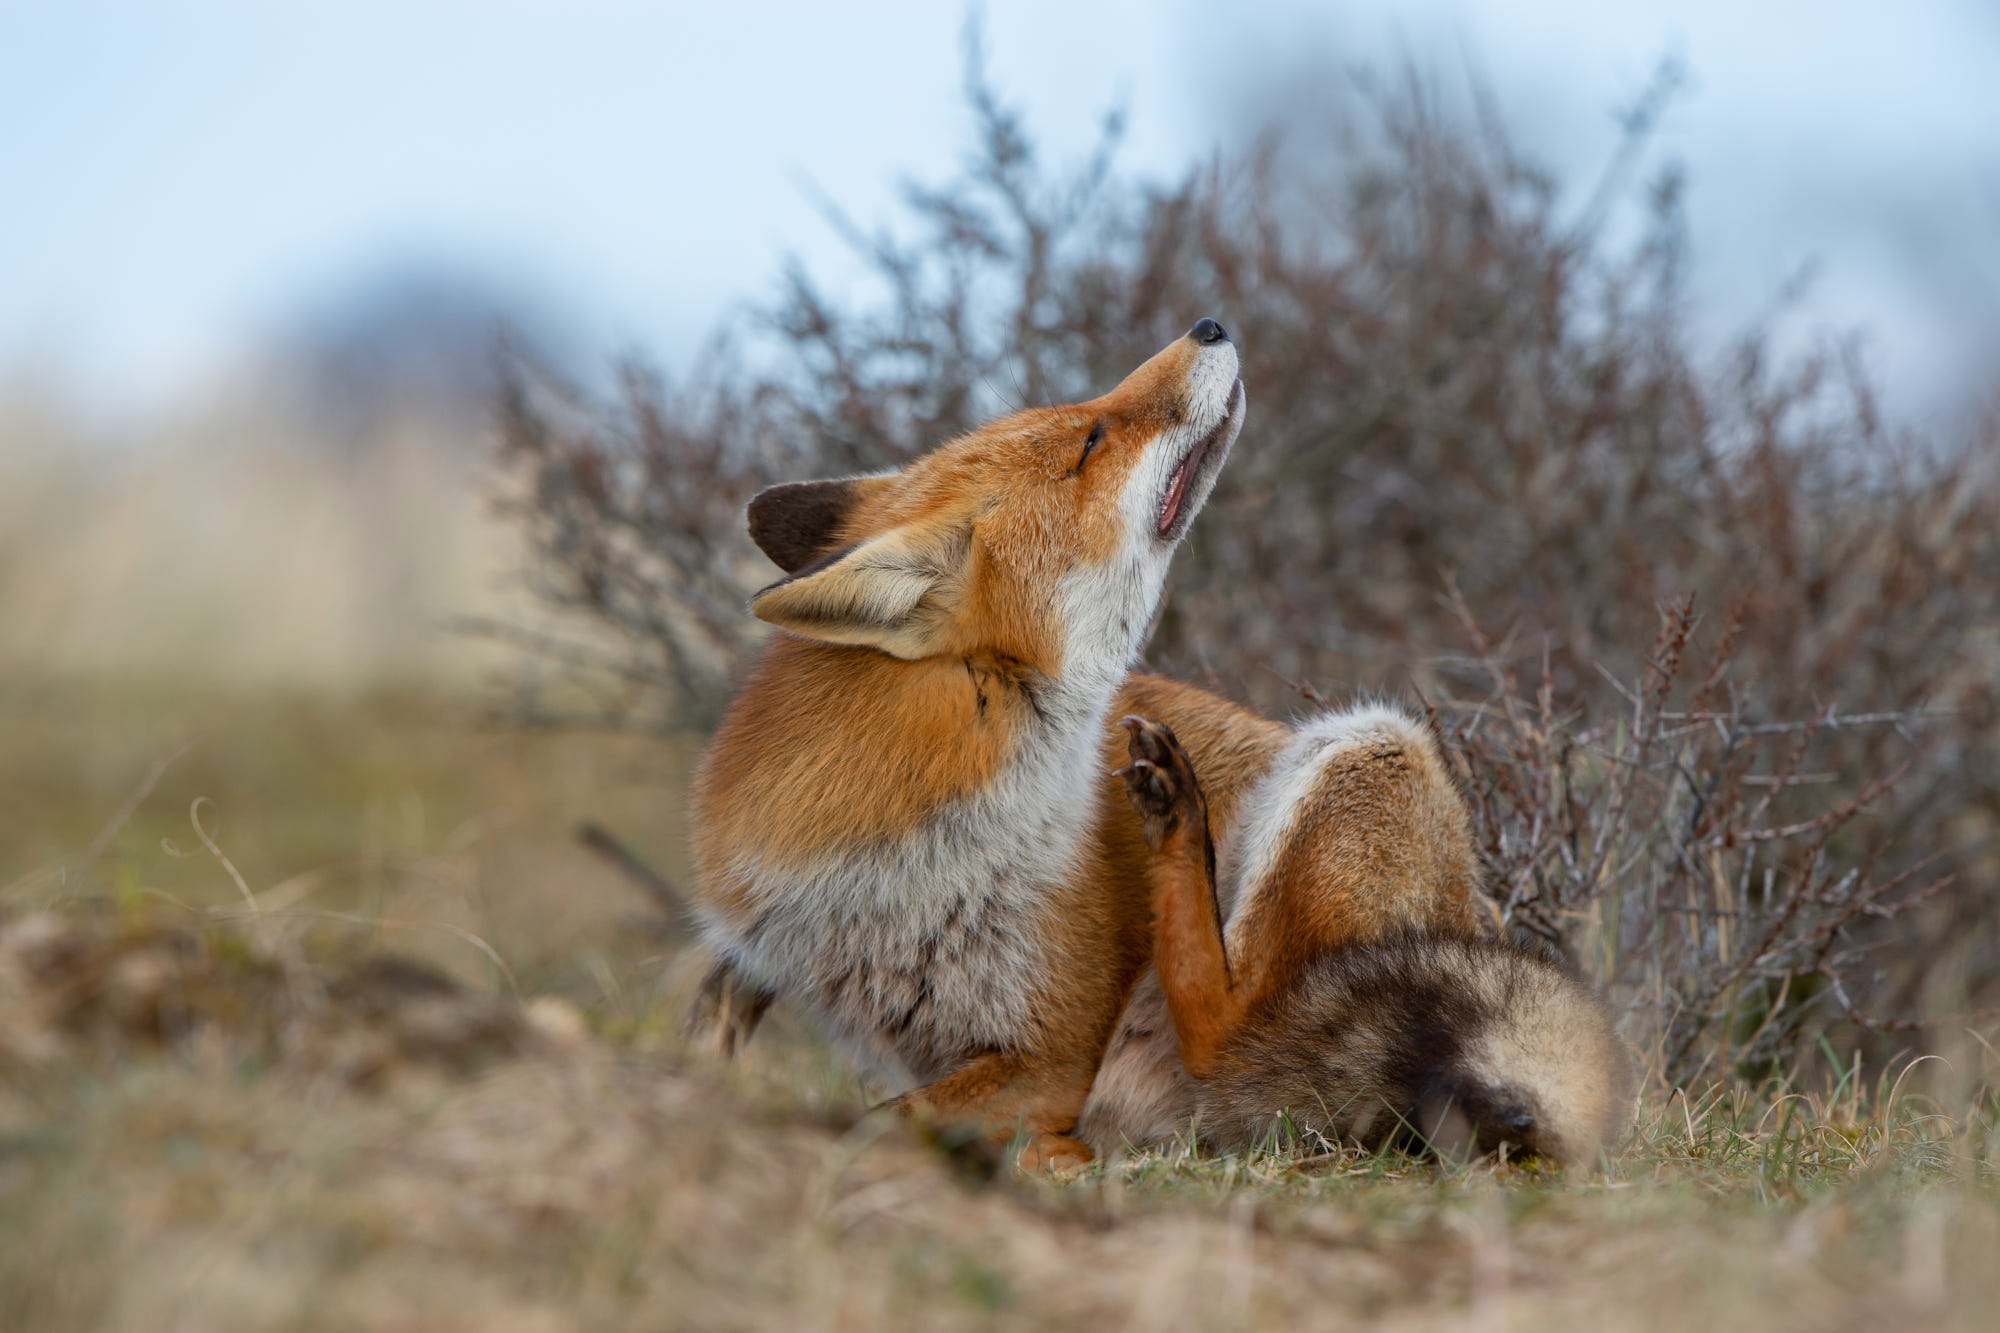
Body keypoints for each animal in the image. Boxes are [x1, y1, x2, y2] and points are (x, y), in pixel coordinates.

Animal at [688, 320, 1624, 1160]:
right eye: (1091, 439)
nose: (1210, 322)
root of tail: (1478, 915)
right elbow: (723, 1027)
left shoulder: (1054, 1051)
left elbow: (881, 1116)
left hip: (1364, 749)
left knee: (1229, 1031)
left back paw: (1178, 830)